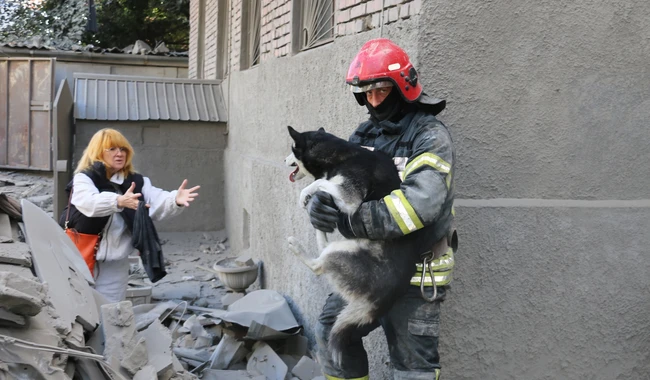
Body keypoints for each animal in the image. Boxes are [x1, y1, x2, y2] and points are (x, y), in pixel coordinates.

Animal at [284, 125, 430, 362]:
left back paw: (297, 246)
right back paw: (317, 229)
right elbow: (322, 185)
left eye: (292, 149)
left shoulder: (349, 198)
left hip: (340, 253)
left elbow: (320, 182)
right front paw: (314, 205)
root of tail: (383, 300)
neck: (340, 153)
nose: (284, 160)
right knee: (323, 249)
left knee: (318, 264)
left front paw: (305, 194)